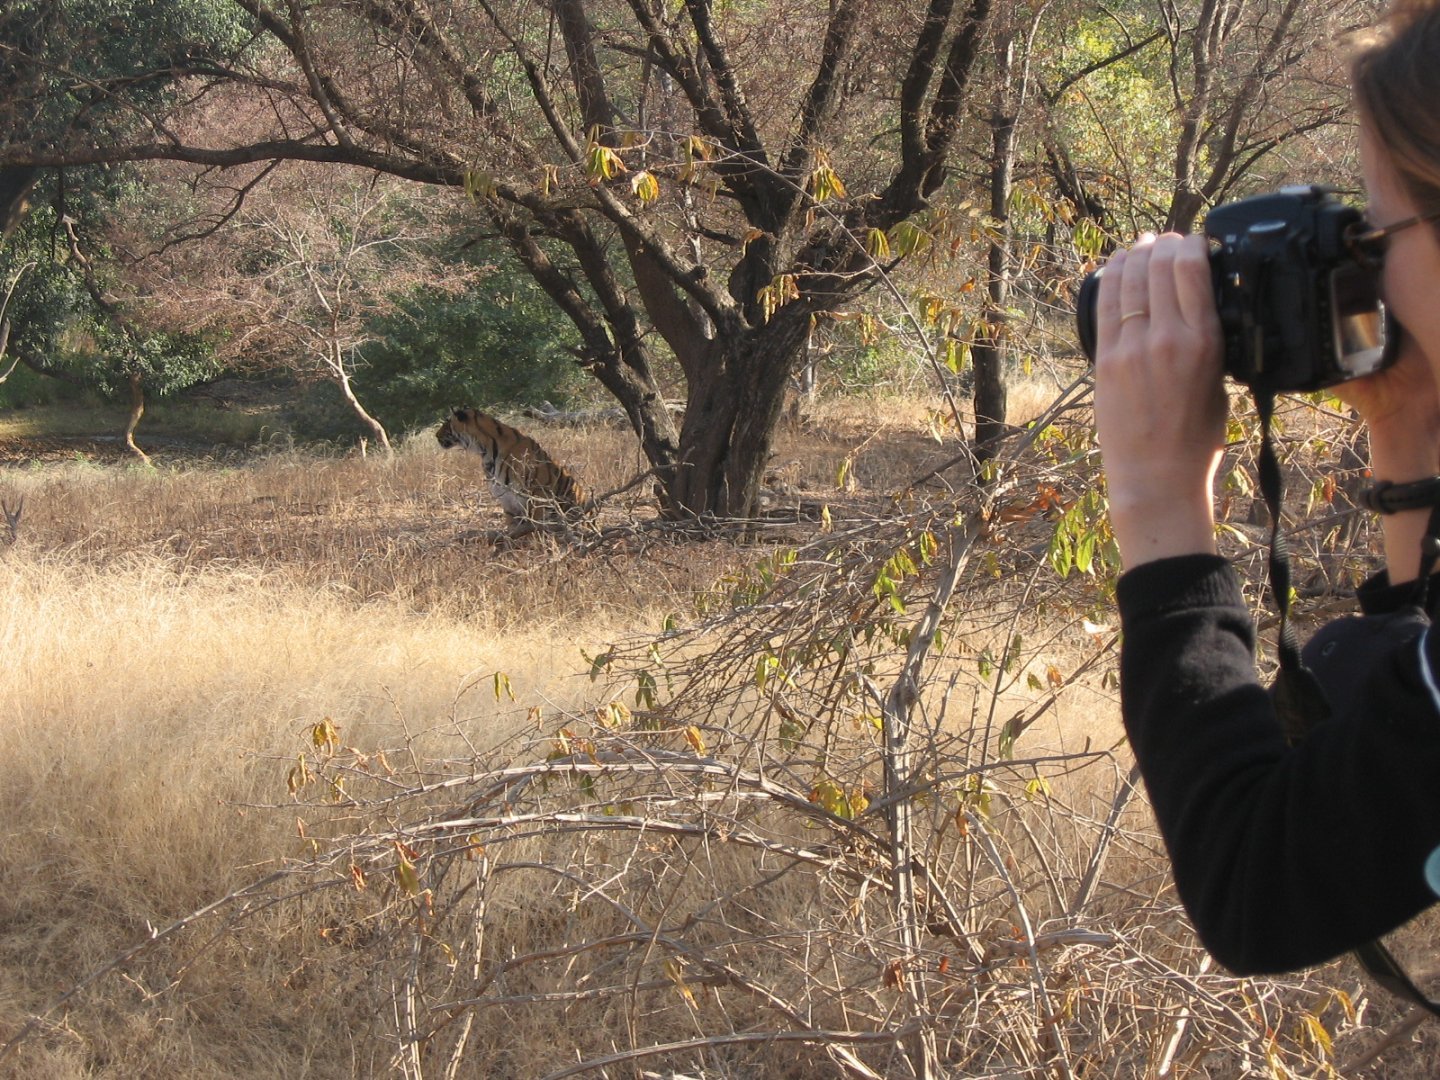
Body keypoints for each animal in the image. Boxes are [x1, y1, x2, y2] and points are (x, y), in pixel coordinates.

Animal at [435, 407, 590, 531]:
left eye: (447, 423)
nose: (436, 435)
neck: (485, 451)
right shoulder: (506, 497)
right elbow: (512, 528)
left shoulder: (536, 495)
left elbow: (534, 526)